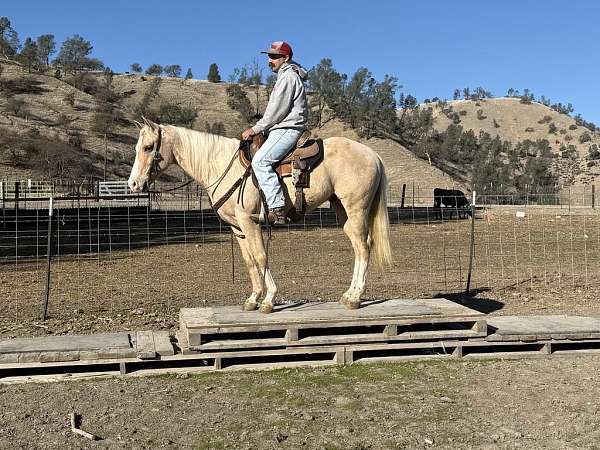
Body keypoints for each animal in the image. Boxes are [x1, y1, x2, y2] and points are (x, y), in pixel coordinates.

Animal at [128, 118, 392, 312]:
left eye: (148, 148)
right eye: (137, 148)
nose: (133, 184)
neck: (221, 165)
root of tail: (373, 154)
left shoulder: (249, 221)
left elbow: (261, 256)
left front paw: (268, 299)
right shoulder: (237, 228)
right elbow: (249, 261)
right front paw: (253, 298)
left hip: (356, 209)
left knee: (363, 246)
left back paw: (355, 297)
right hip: (342, 210)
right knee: (359, 246)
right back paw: (349, 294)